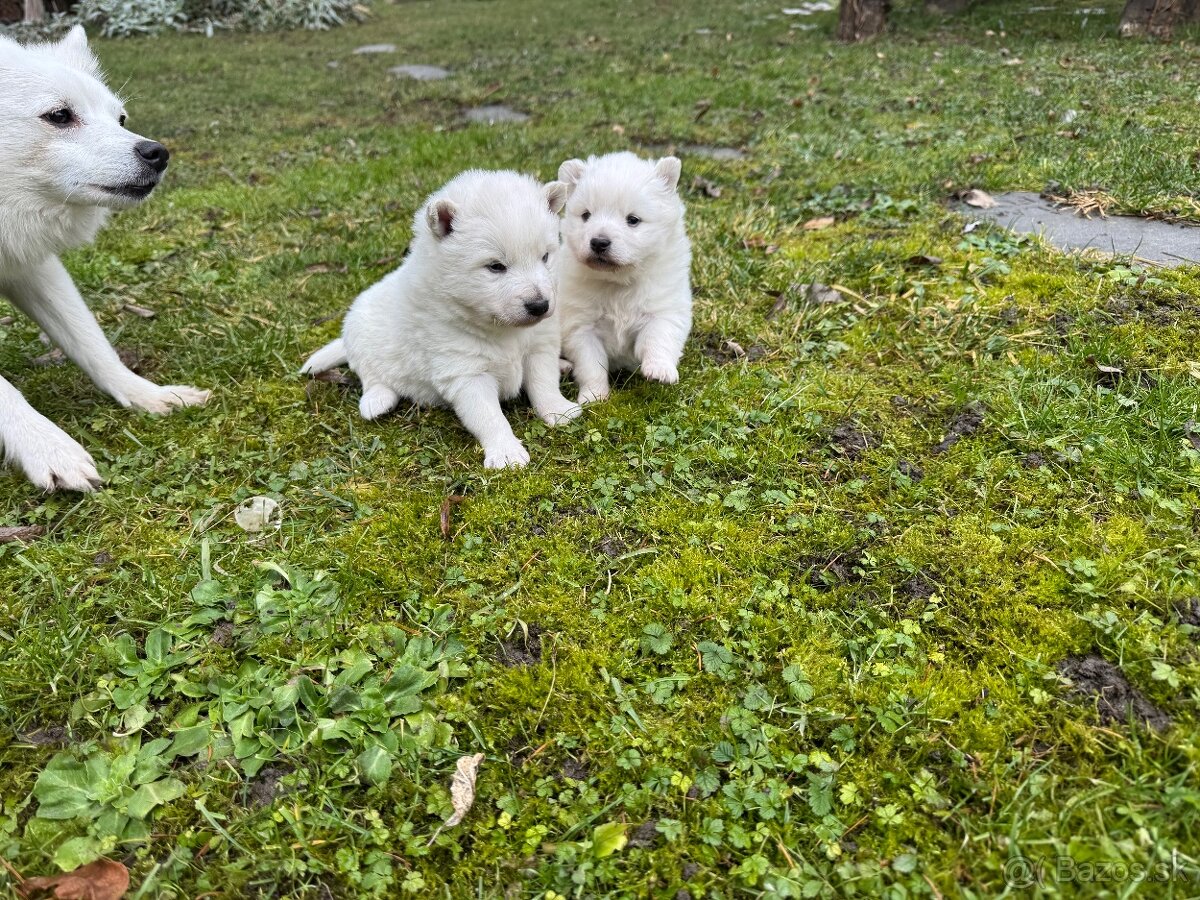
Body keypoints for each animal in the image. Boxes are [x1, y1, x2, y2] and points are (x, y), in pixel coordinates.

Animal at [0, 26, 211, 494]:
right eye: (60, 115)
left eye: (121, 119)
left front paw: (147, 395)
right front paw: (47, 447)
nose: (158, 153)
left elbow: (91, 343)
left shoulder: (31, 267)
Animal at [300, 168, 580, 472]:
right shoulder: (464, 372)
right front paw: (505, 452)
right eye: (496, 266)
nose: (540, 306)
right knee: (370, 375)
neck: (503, 330)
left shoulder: (539, 347)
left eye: (545, 256)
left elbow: (543, 383)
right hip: (361, 336)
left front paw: (559, 410)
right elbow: (488, 415)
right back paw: (376, 401)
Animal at [554, 153, 691, 408]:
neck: (617, 282)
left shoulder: (664, 308)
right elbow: (591, 364)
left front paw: (659, 370)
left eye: (633, 220)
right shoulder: (581, 326)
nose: (599, 242)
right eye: (586, 215)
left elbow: (659, 336)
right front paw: (594, 396)